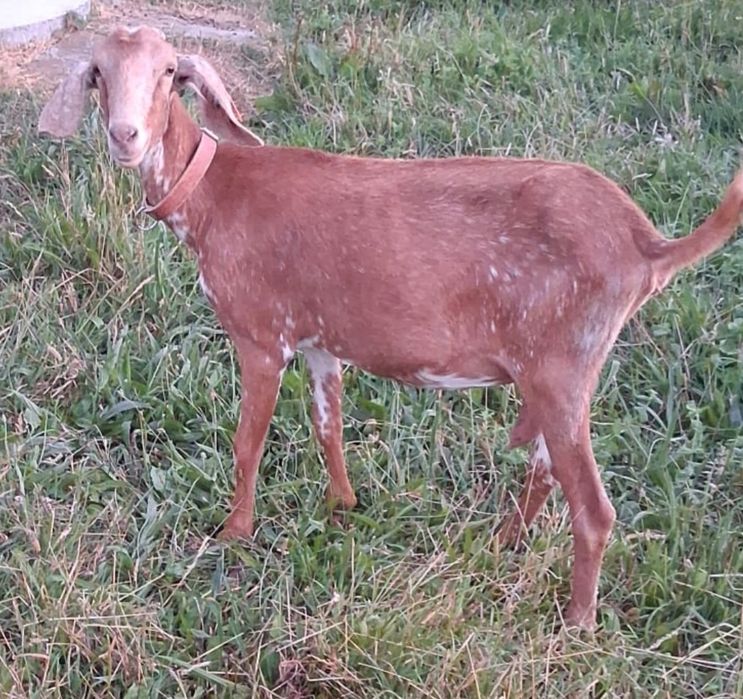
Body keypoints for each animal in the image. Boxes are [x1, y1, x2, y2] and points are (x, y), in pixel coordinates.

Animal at [39, 26, 743, 630]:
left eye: (168, 72)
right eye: (99, 73)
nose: (126, 136)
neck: (214, 196)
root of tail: (647, 247)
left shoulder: (261, 333)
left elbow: (247, 444)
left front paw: (233, 535)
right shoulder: (320, 340)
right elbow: (328, 425)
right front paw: (343, 505)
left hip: (562, 364)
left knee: (594, 508)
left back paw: (575, 624)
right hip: (561, 371)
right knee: (548, 467)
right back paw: (503, 541)